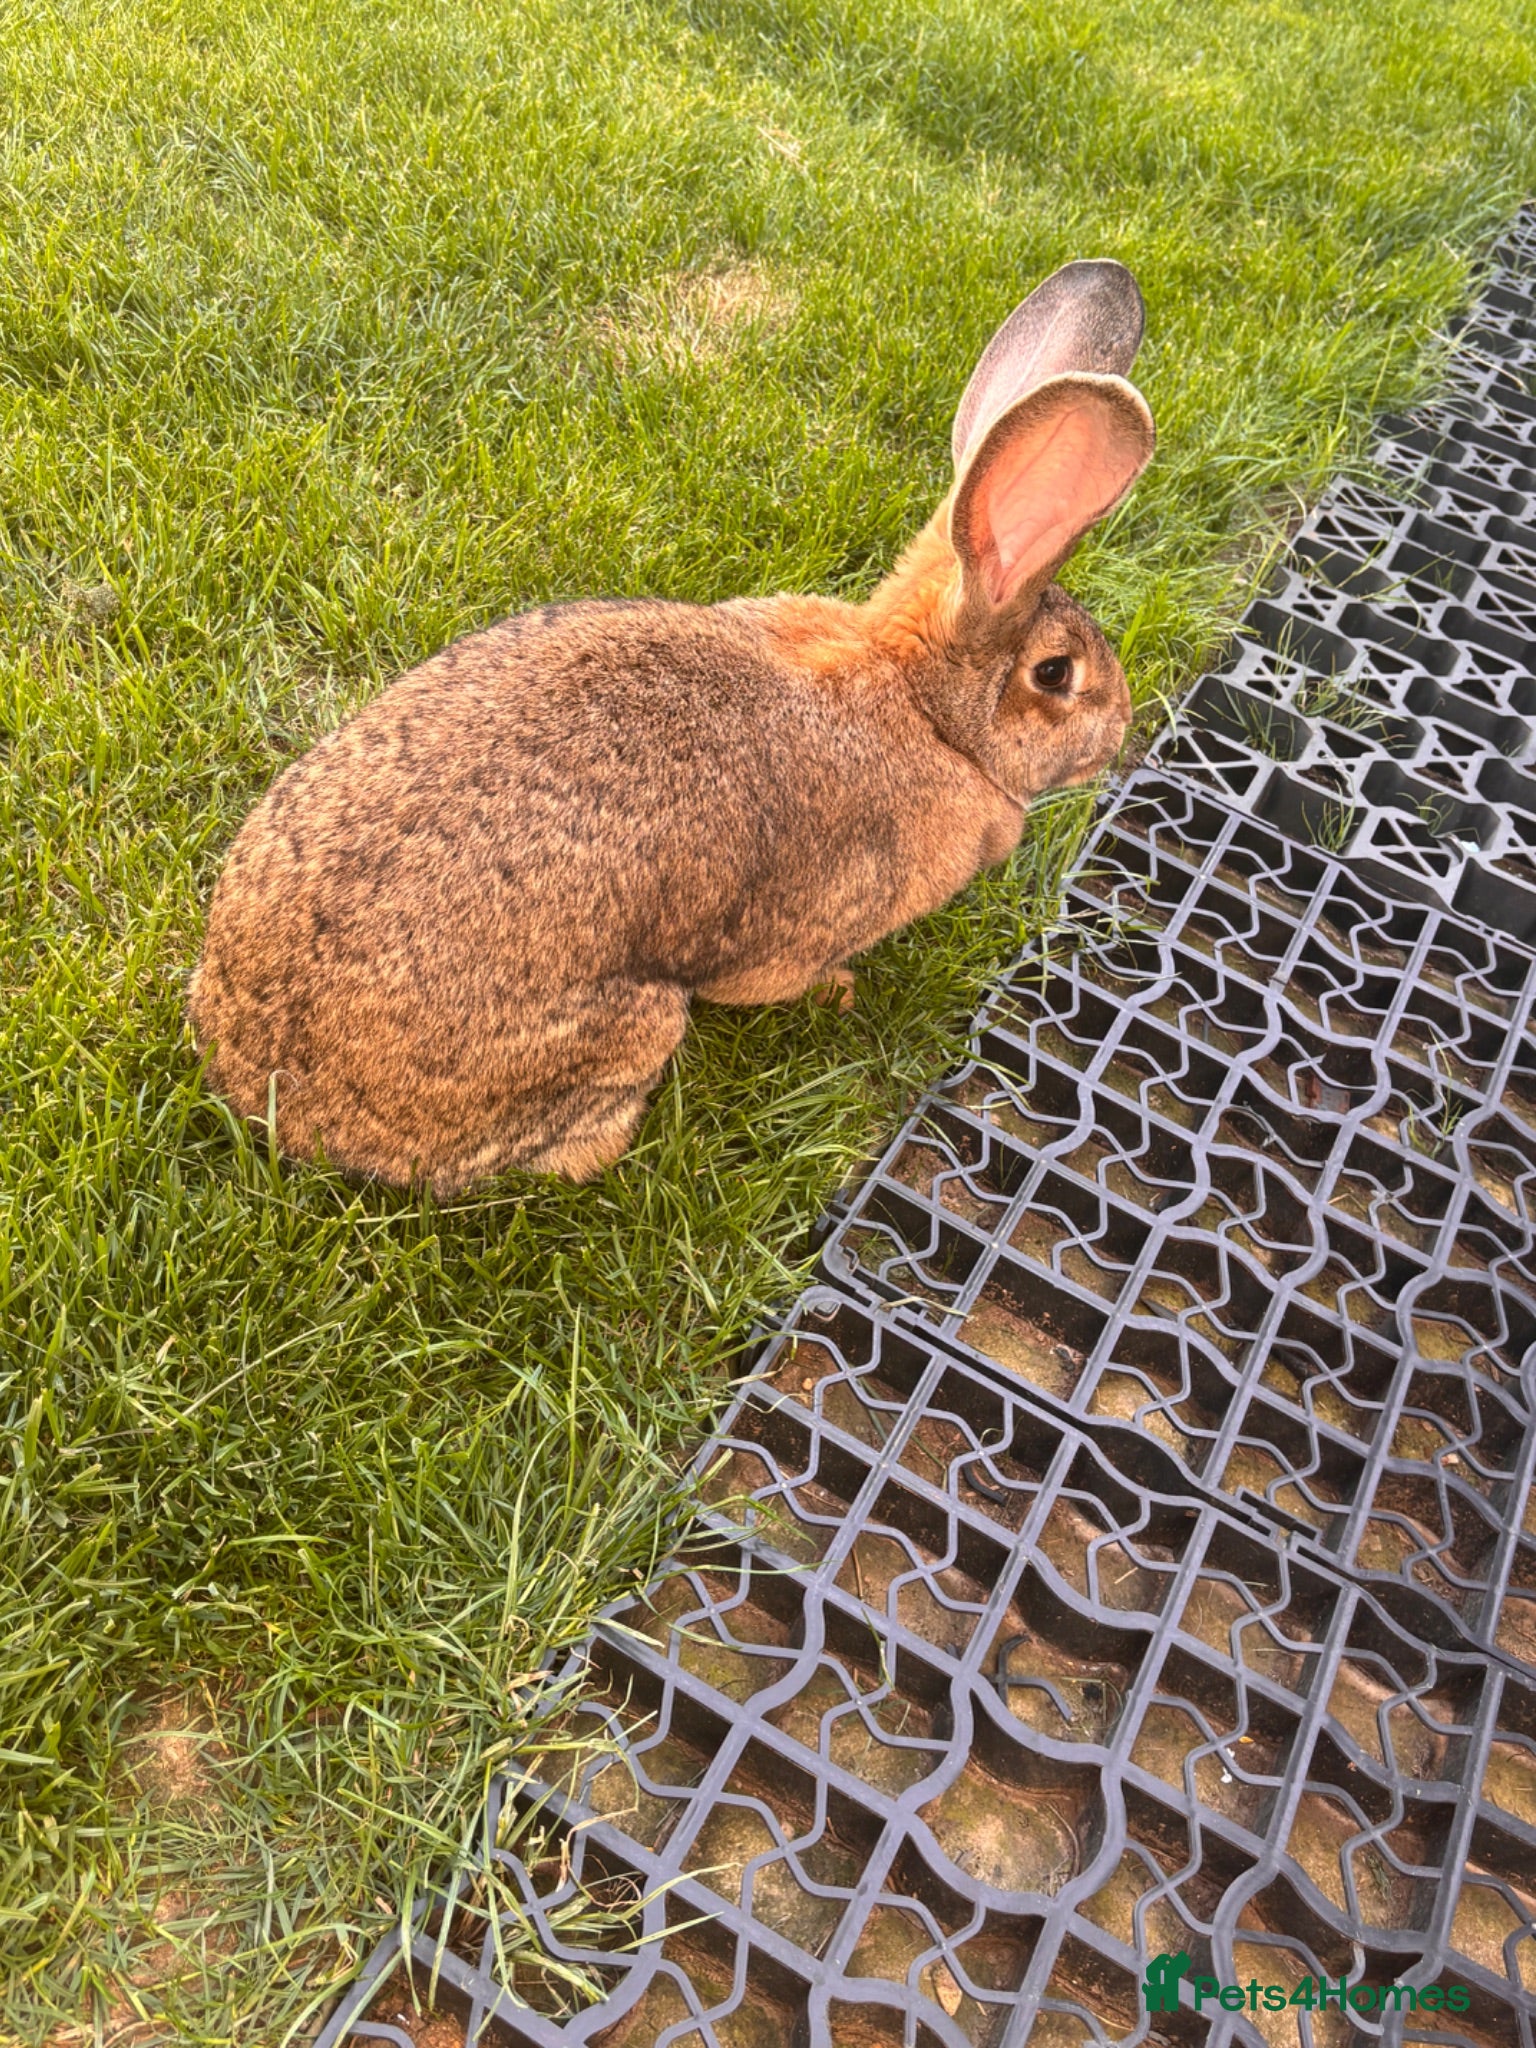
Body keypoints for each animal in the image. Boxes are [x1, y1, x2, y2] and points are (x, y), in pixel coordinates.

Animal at [189, 258, 1155, 1193]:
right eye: (1057, 675)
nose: (1122, 731)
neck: (924, 704)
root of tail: (271, 1097)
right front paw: (841, 990)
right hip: (633, 1024)